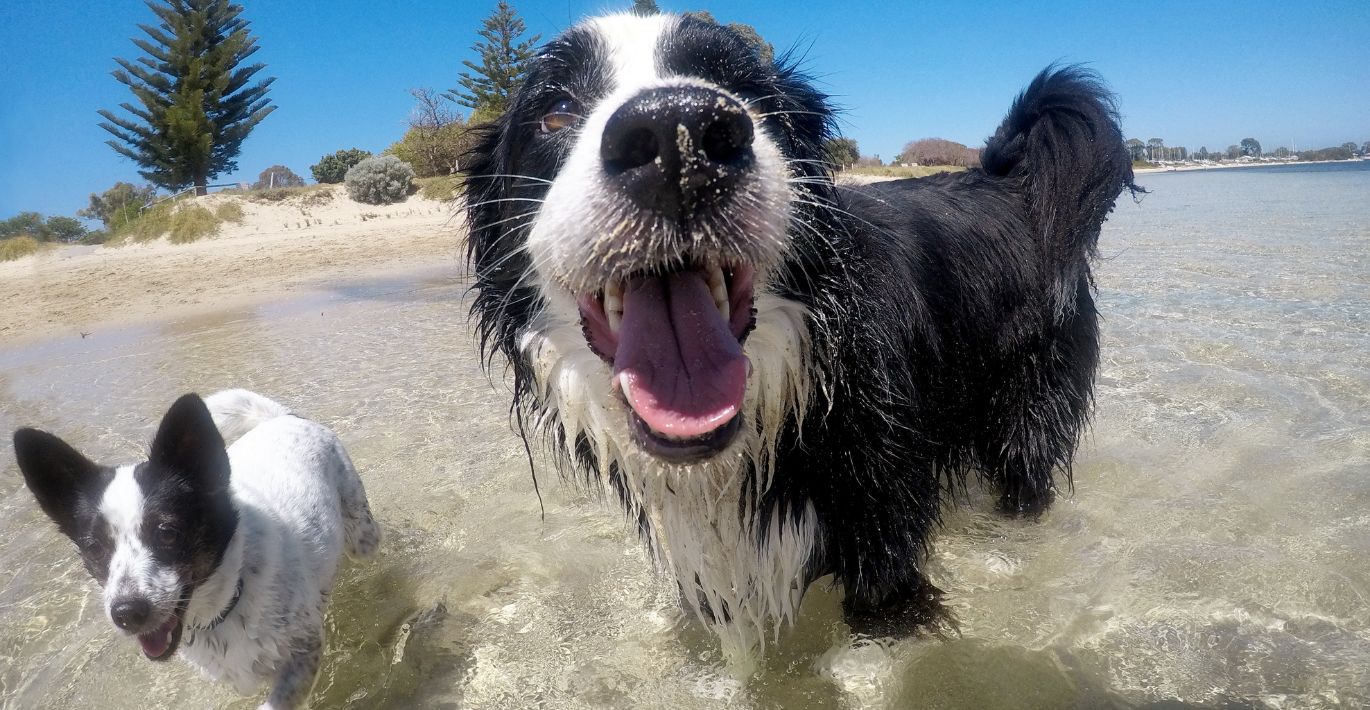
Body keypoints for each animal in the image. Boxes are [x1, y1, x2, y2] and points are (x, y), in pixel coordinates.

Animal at [12, 392, 380, 707]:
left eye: (167, 533)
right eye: (94, 547)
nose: (127, 613)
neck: (228, 598)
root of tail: (282, 418)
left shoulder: (305, 651)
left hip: (363, 538)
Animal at [463, 12, 1134, 657]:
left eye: (748, 94)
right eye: (554, 111)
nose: (678, 135)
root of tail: (1007, 181)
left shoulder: (882, 525)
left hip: (1028, 402)